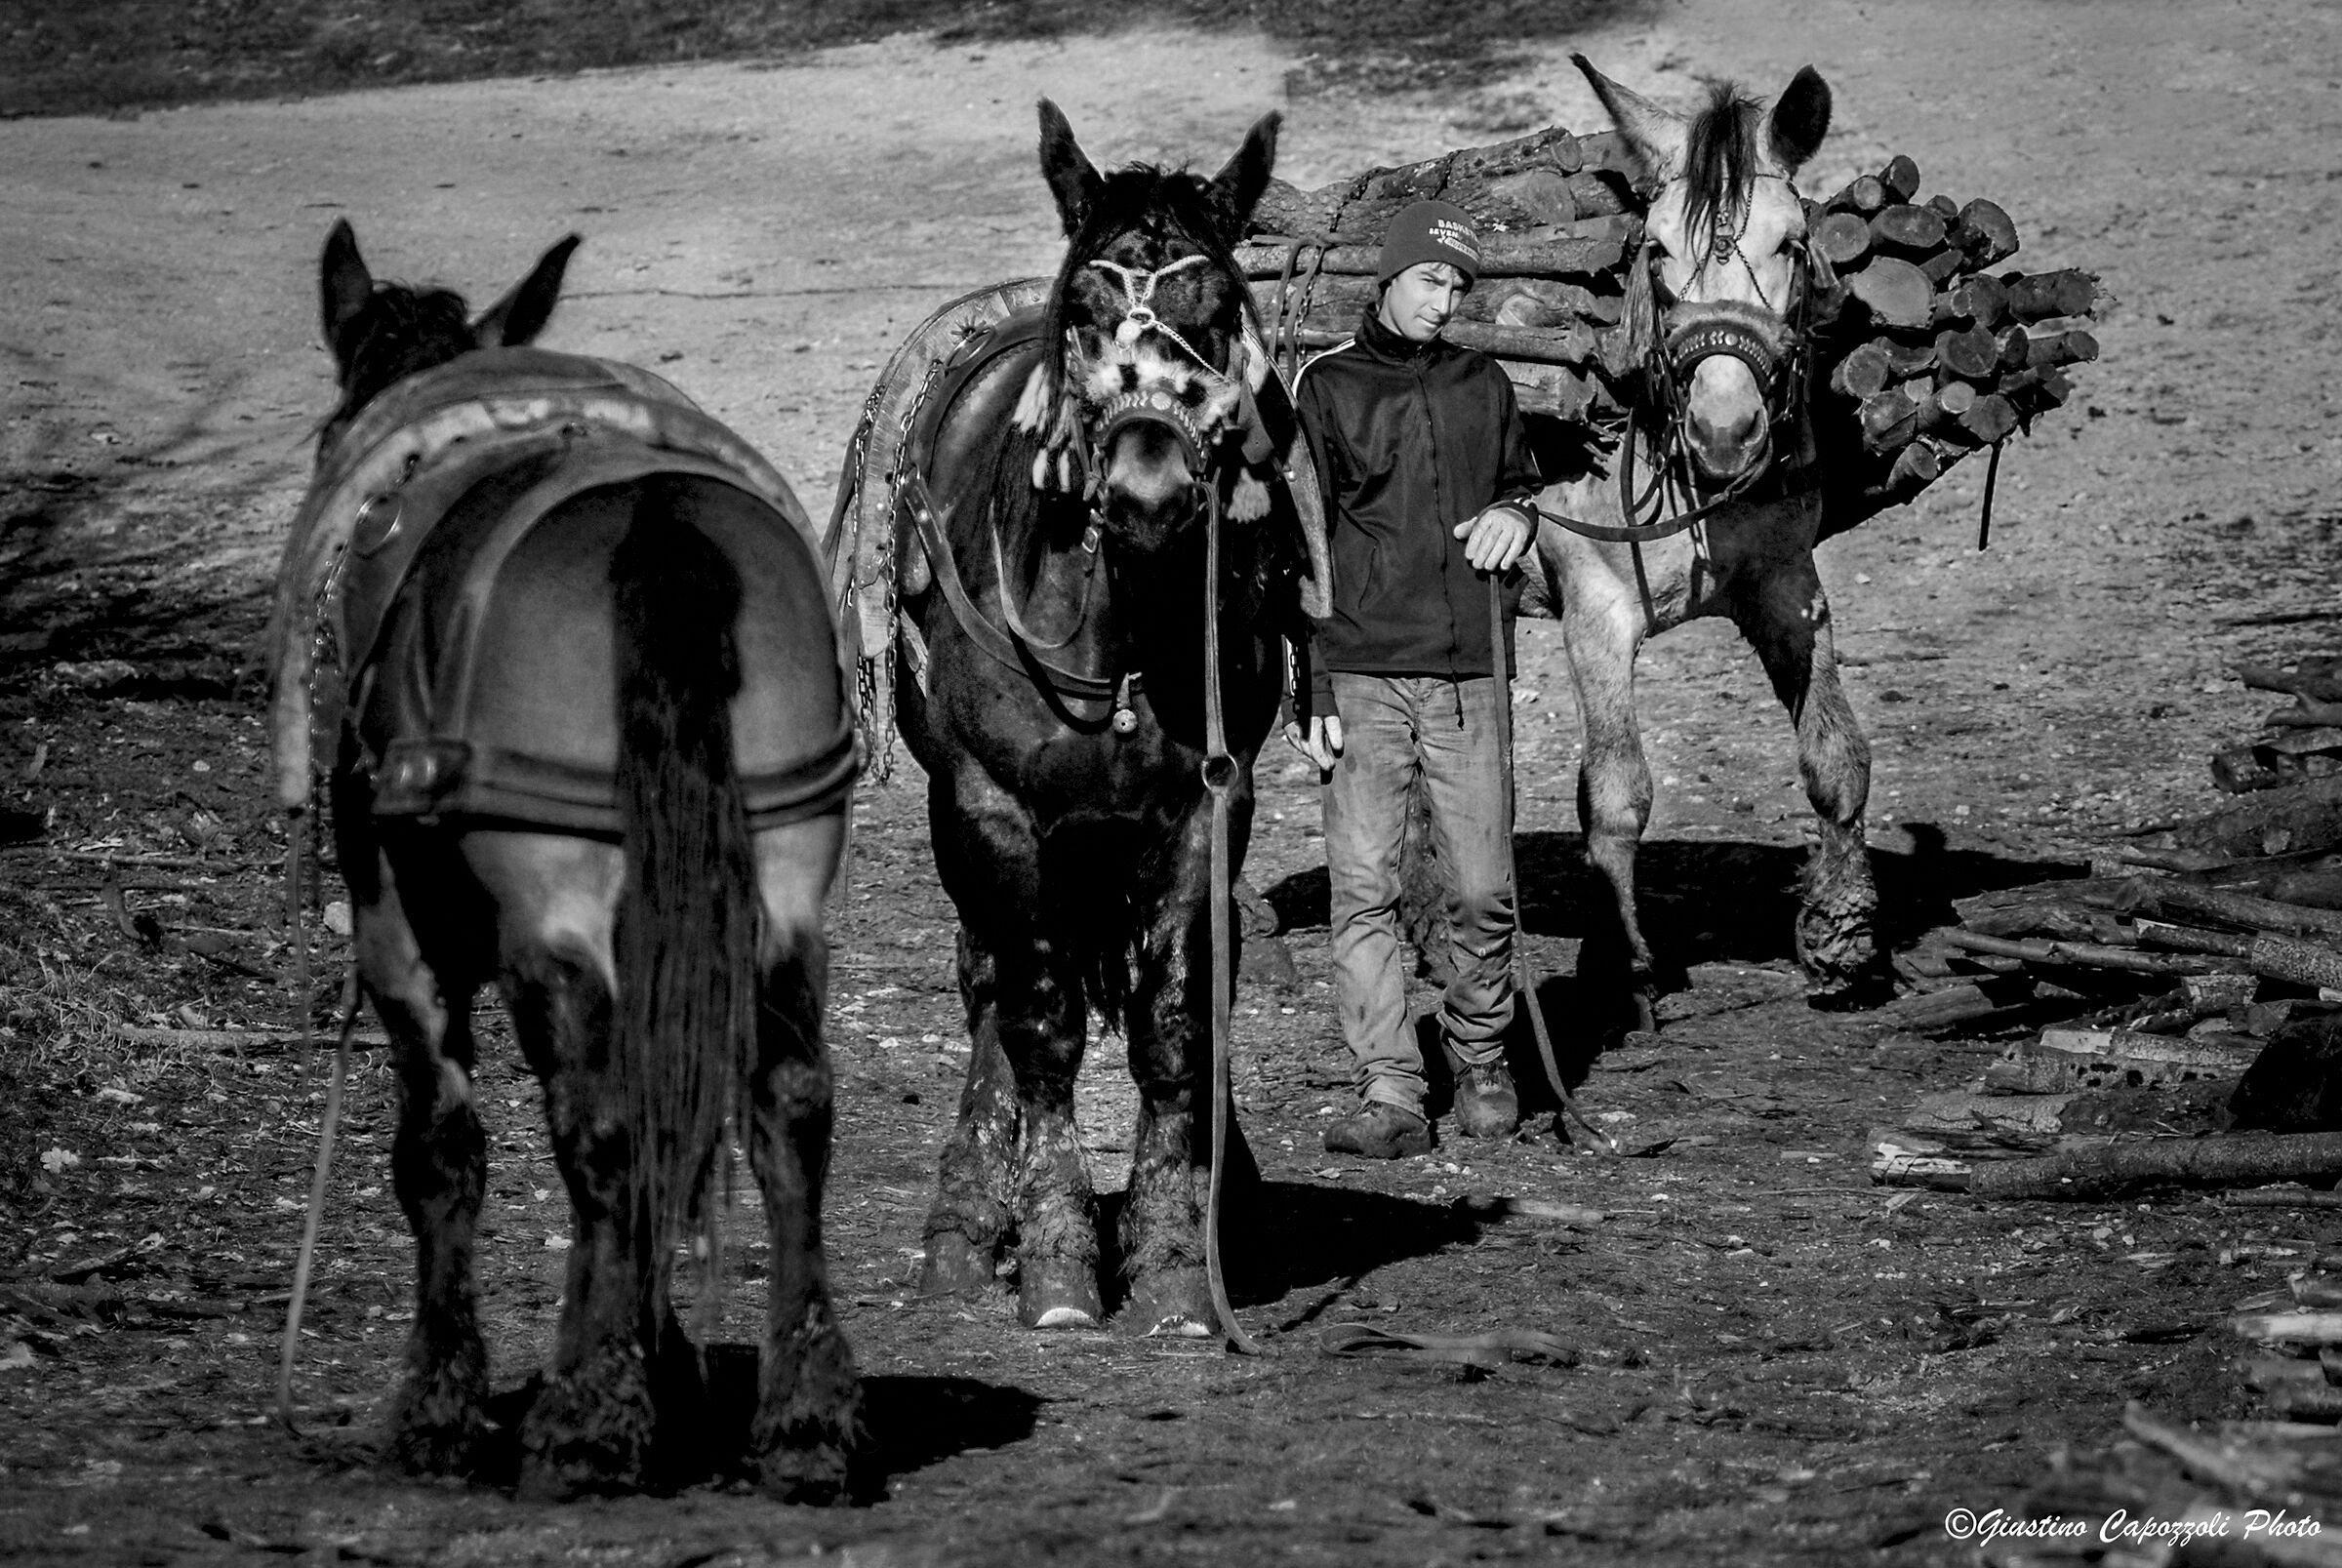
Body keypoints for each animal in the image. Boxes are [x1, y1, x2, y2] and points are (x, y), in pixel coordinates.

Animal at [293, 218, 862, 1498]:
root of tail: (660, 524)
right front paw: (665, 1368)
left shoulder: (400, 940)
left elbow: (439, 1152)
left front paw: (442, 1403)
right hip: (783, 888)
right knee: (789, 1105)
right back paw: (802, 1418)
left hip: (550, 914)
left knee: (596, 1126)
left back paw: (586, 1417)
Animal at [890, 103, 1312, 1338]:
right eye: (1082, 309)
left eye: (1216, 312)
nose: (1148, 492)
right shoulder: (993, 811)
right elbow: (1041, 1022)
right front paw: (1060, 1259)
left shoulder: (1203, 810)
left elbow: (1178, 1017)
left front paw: (1175, 1261)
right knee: (994, 987)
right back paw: (966, 1224)